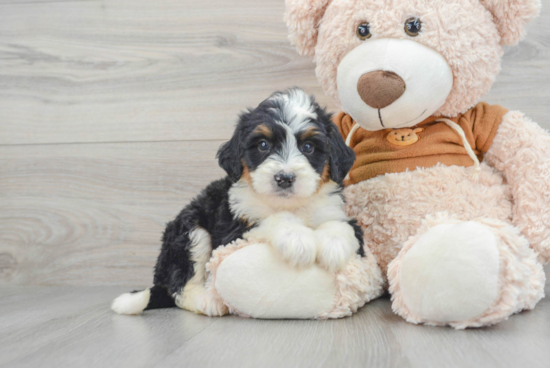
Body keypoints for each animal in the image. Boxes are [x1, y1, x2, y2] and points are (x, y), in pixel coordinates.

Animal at [111, 87, 366, 314]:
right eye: (263, 145)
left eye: (308, 147)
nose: (284, 178)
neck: (288, 203)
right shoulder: (234, 229)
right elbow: (274, 219)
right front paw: (298, 240)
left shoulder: (334, 210)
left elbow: (341, 226)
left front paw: (334, 247)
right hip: (189, 232)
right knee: (180, 287)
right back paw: (208, 301)